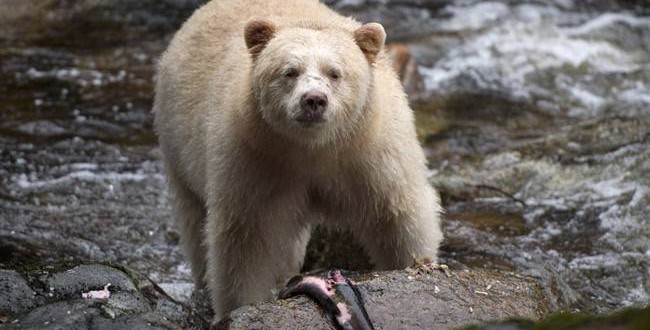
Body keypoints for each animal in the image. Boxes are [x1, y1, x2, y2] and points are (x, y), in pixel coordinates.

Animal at [154, 0, 442, 320]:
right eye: (290, 72)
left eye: (335, 73)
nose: (314, 100)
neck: (313, 147)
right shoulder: (254, 158)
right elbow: (246, 239)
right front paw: (238, 307)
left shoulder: (370, 153)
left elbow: (396, 215)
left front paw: (415, 265)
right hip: (178, 142)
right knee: (195, 221)